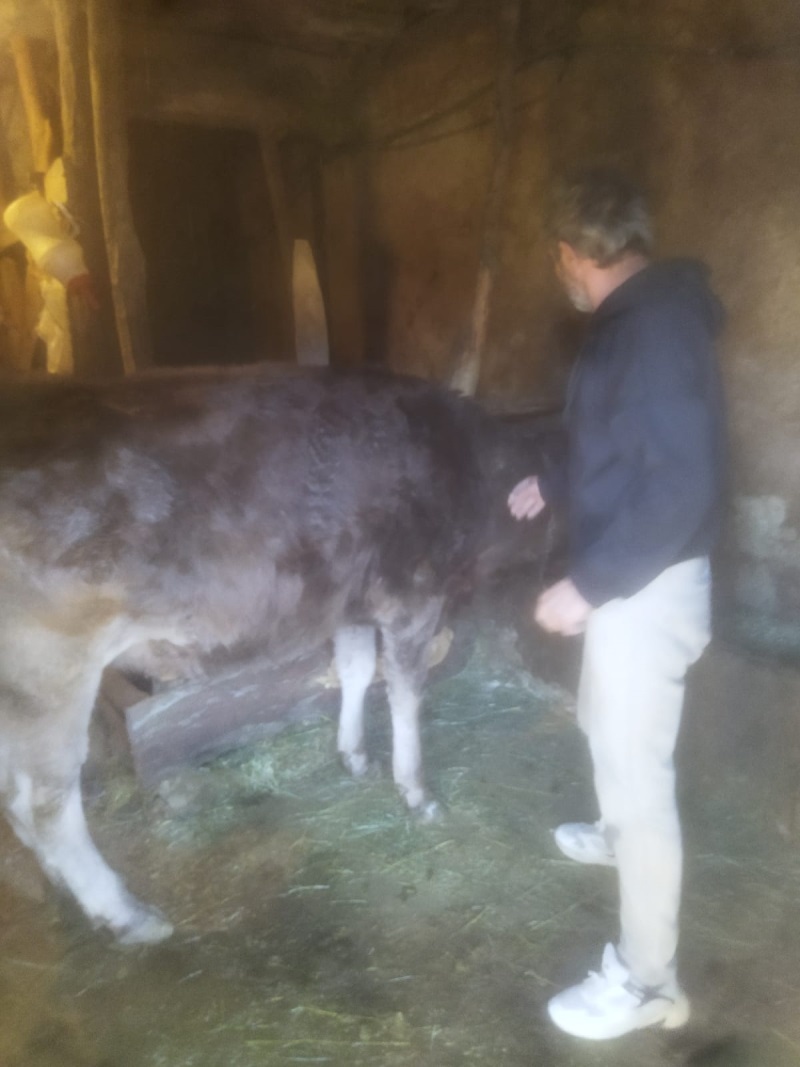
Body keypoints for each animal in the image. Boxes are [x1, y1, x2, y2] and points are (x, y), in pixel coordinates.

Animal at [0, 367, 560, 944]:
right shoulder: (413, 596)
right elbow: (406, 695)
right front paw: (416, 791)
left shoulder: (352, 600)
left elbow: (356, 671)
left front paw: (354, 754)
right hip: (51, 671)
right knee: (43, 803)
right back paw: (124, 912)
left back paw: (61, 883)